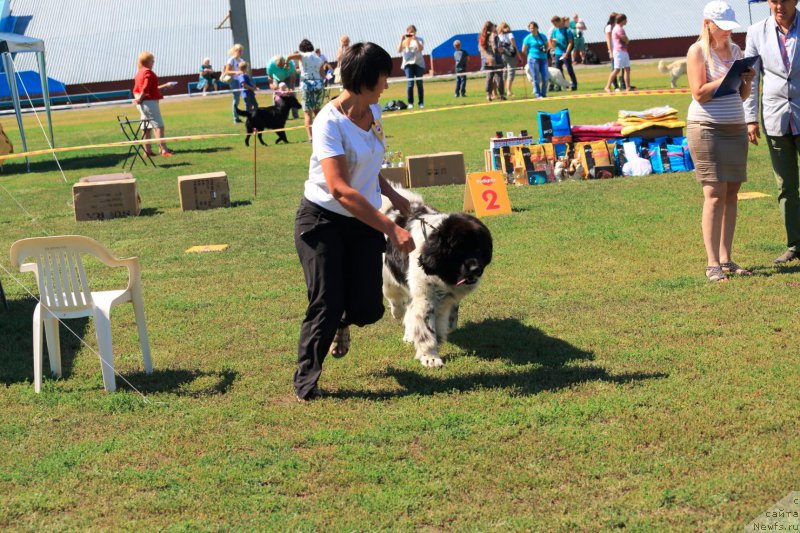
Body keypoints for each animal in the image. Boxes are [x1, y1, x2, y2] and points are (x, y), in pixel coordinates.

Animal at [382, 189, 494, 368]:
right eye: (459, 250)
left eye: (479, 249)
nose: (476, 269)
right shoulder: (425, 297)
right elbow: (426, 328)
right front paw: (430, 357)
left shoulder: (444, 301)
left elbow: (439, 326)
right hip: (389, 277)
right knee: (395, 298)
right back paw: (397, 313)